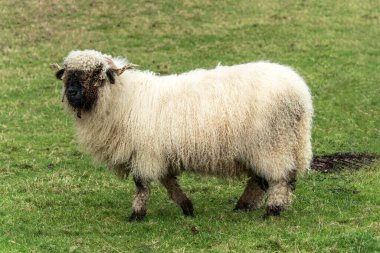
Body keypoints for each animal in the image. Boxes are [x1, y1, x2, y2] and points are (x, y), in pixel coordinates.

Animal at [52, 50, 314, 221]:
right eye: (68, 74)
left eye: (97, 74)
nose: (72, 92)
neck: (122, 100)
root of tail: (300, 93)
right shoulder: (158, 153)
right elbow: (168, 182)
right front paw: (187, 208)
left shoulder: (145, 152)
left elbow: (142, 185)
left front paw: (137, 214)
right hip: (266, 146)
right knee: (261, 180)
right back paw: (244, 206)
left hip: (273, 143)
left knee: (280, 178)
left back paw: (273, 210)